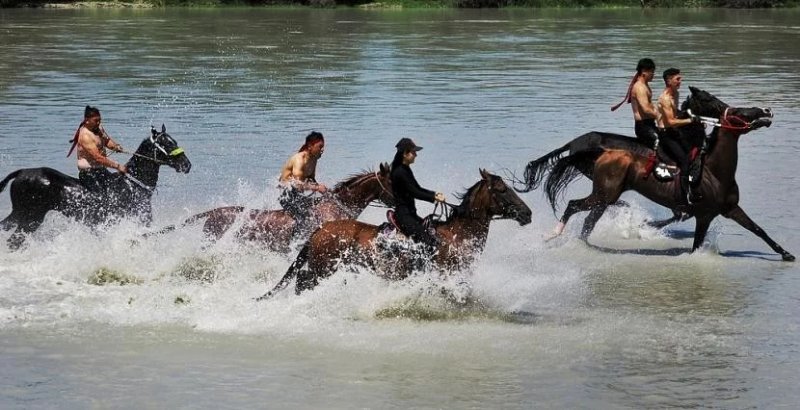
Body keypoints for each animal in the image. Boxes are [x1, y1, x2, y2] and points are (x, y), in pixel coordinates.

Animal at [0, 125, 192, 249]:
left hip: (21, 215)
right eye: (168, 143)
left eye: (174, 141)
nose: (187, 165)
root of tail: (21, 173)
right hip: (30, 217)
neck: (132, 185)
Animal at [258, 169, 533, 299]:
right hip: (321, 268)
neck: (457, 235)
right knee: (302, 280)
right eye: (502, 189)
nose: (527, 213)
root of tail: (320, 229)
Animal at [518, 86, 794, 261]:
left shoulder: (730, 209)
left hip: (605, 195)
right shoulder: (704, 215)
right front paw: (646, 227)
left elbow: (758, 229)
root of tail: (595, 150)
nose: (767, 111)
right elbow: (694, 242)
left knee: (588, 220)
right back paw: (554, 235)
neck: (714, 171)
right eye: (740, 113)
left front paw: (786, 253)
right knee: (575, 206)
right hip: (603, 194)